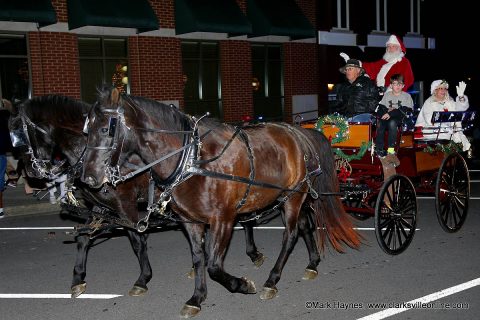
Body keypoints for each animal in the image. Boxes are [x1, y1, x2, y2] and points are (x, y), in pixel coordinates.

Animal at [81, 87, 360, 318]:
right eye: (86, 130)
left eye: (107, 128)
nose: (88, 177)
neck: (192, 158)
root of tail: (297, 131)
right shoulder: (190, 221)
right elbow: (198, 258)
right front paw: (196, 298)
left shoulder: (223, 219)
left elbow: (214, 264)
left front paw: (243, 284)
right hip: (289, 197)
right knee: (304, 225)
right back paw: (312, 263)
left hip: (292, 198)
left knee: (290, 235)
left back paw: (271, 281)